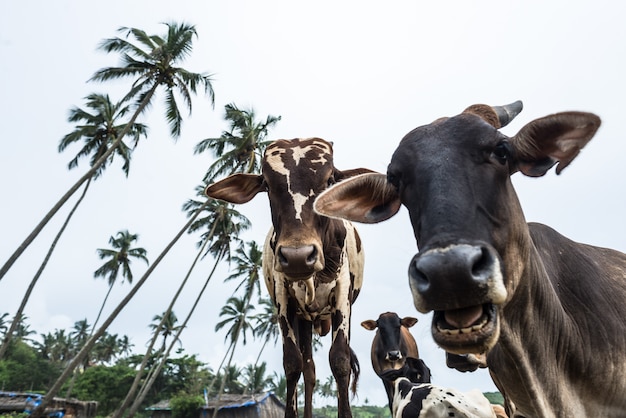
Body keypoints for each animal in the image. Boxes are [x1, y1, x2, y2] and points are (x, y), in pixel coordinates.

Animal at [205, 138, 370, 418]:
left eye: (329, 180)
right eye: (268, 185)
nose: (297, 256)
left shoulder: (342, 297)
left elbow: (340, 361)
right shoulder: (284, 301)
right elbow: (292, 364)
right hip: (304, 319)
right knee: (309, 369)